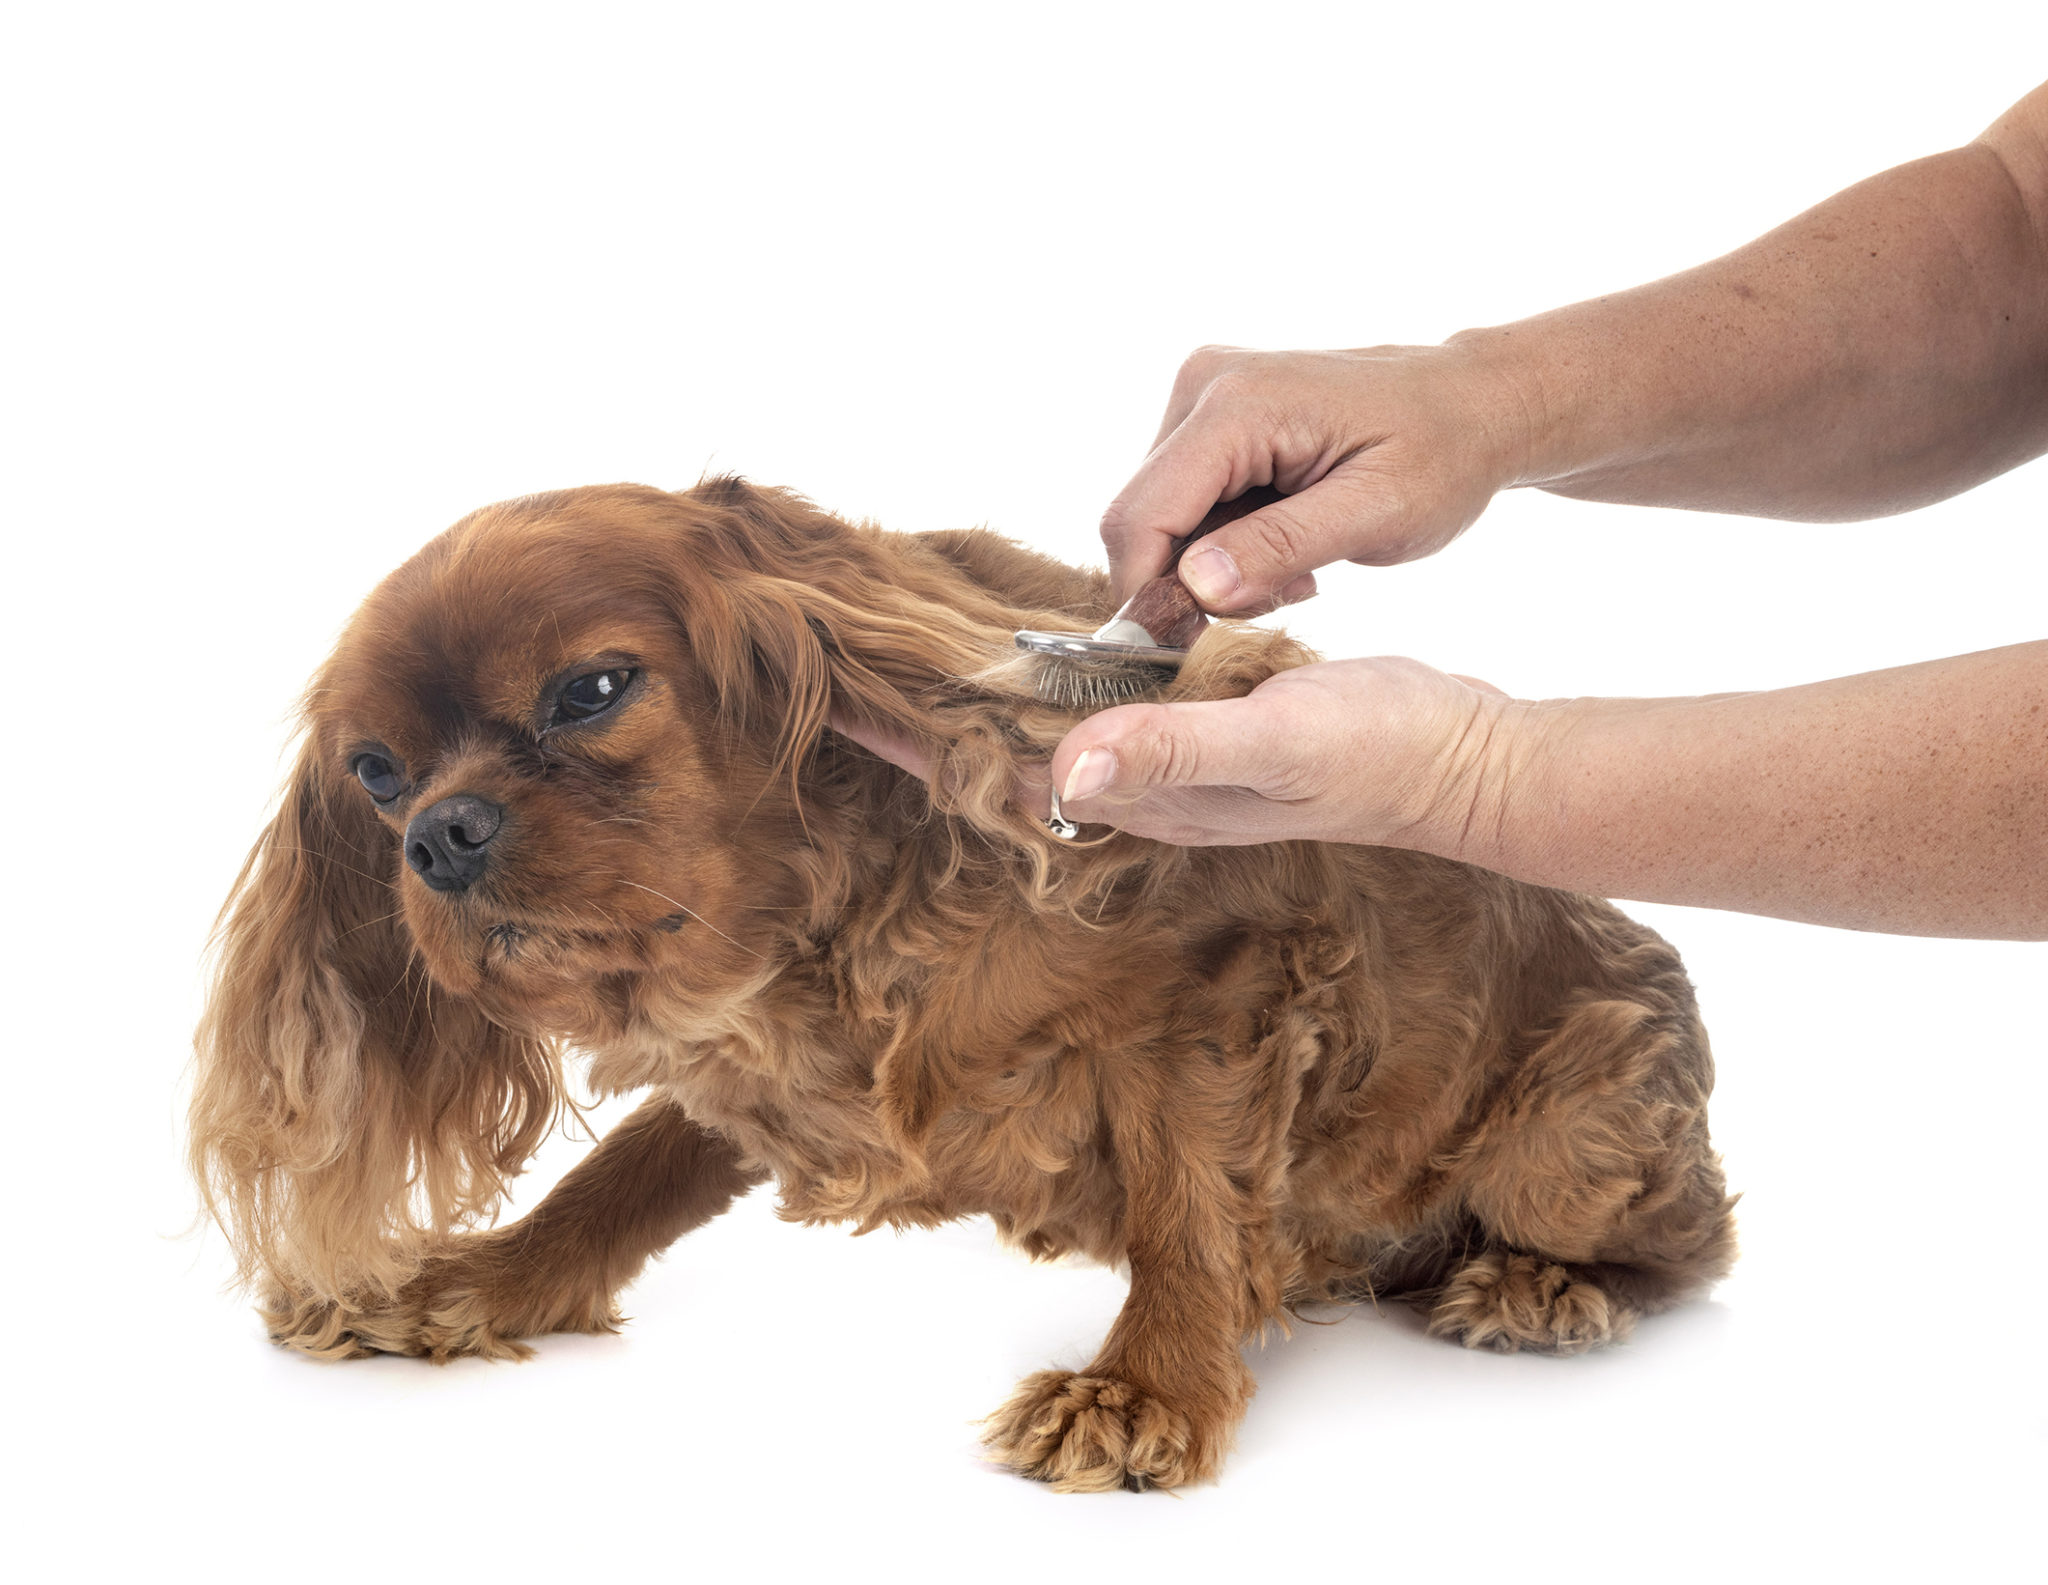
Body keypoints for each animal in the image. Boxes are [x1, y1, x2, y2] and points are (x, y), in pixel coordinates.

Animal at [192, 481, 1736, 1490]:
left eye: (591, 691)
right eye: (374, 774)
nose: (437, 835)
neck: (815, 936)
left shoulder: (1223, 999)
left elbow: (1189, 1209)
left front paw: (1143, 1387)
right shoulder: (754, 1071)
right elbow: (619, 1178)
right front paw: (466, 1285)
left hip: (1569, 1137)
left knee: (1689, 1250)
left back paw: (1539, 1287)